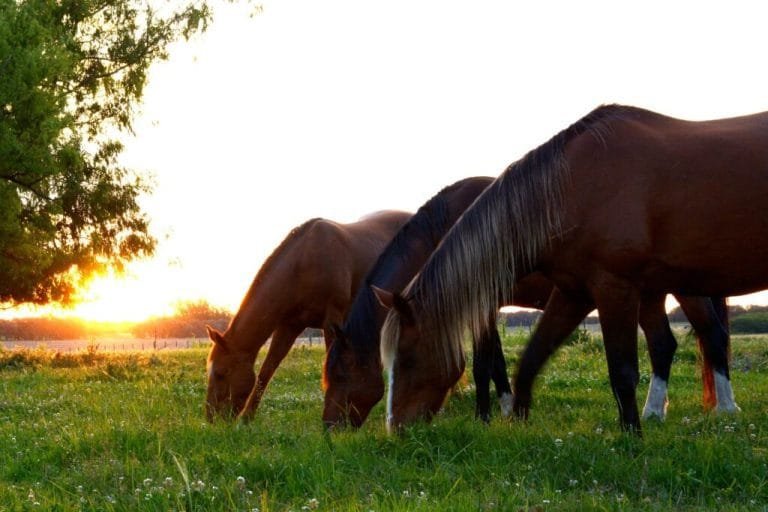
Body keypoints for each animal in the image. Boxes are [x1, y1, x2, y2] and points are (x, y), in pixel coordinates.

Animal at [205, 209, 411, 421]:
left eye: (220, 373)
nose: (211, 418)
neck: (303, 264)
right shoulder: (289, 326)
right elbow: (267, 370)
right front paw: (247, 419)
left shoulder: (332, 320)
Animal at [323, 180, 732, 429]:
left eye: (341, 374)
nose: (329, 427)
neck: (450, 226)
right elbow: (497, 362)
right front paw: (506, 408)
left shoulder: (481, 303)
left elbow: (484, 363)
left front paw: (485, 416)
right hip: (648, 293)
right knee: (664, 344)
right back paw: (653, 413)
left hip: (681, 290)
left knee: (711, 334)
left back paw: (725, 409)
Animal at [379, 104, 767, 433]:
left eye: (408, 359)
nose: (396, 429)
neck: (571, 189)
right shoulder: (573, 293)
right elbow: (530, 359)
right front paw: (517, 422)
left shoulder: (613, 288)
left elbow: (621, 370)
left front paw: (630, 440)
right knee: (667, 344)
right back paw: (657, 412)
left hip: (684, 290)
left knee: (711, 336)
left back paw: (725, 410)